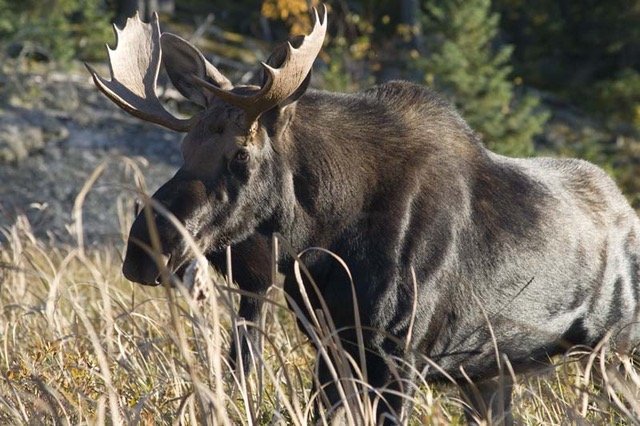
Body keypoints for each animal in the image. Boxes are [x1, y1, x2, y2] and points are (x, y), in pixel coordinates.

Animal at [87, 8, 640, 425]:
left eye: (241, 155)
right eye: (183, 148)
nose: (145, 250)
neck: (323, 240)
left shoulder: (399, 355)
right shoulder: (334, 350)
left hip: (613, 351)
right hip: (489, 374)